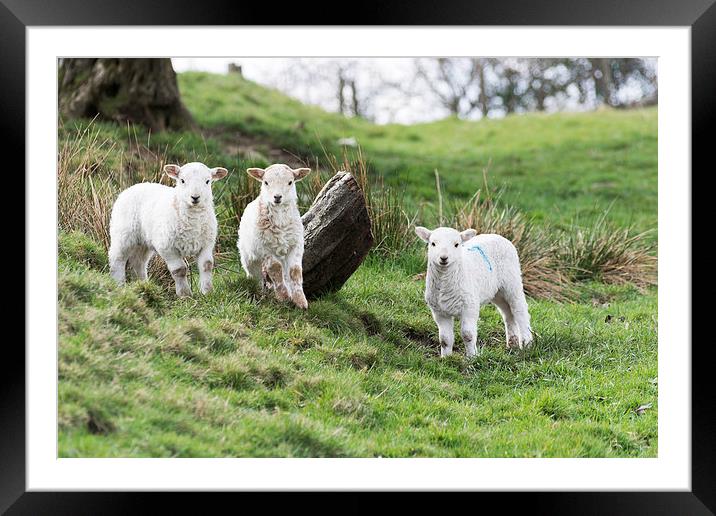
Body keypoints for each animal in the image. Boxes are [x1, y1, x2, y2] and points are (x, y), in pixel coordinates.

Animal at [107, 161, 227, 298]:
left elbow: (206, 265)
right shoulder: (167, 247)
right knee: (117, 258)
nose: (195, 197)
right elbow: (179, 270)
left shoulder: (206, 244)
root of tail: (133, 187)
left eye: (207, 181)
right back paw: (119, 284)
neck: (193, 220)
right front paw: (185, 295)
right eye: (182, 180)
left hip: (143, 242)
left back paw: (142, 285)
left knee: (138, 262)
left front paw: (207, 292)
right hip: (123, 233)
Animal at [238, 165, 310, 308]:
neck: (280, 218)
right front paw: (283, 297)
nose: (277, 197)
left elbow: (295, 271)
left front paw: (300, 301)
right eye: (266, 182)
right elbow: (275, 268)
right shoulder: (265, 248)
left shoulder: (296, 245)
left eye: (290, 182)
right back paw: (261, 291)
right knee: (255, 275)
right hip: (249, 256)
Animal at [414, 228, 532, 356]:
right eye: (433, 244)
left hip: (512, 282)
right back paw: (512, 344)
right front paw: (446, 358)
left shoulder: (469, 307)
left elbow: (468, 335)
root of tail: (498, 236)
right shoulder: (439, 312)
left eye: (456, 244)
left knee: (519, 310)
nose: (444, 258)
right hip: (497, 292)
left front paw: (472, 357)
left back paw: (526, 343)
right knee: (508, 313)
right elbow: (444, 339)